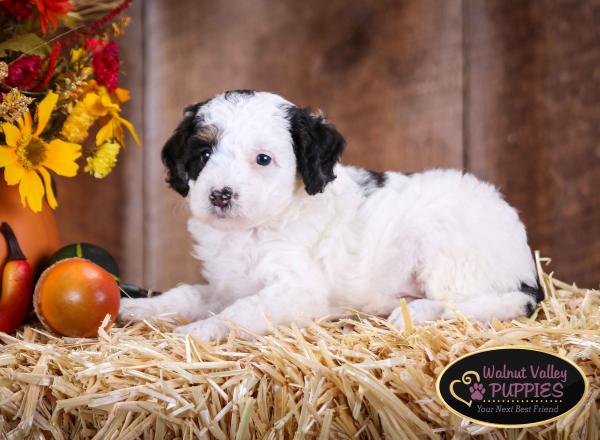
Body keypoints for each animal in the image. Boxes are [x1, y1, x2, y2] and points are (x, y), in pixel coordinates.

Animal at [118, 89, 544, 340]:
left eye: (263, 159)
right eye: (203, 153)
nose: (220, 195)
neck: (253, 231)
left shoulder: (297, 289)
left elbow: (242, 310)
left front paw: (195, 332)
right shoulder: (226, 283)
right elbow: (188, 293)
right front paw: (137, 307)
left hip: (449, 252)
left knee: (491, 301)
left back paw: (417, 312)